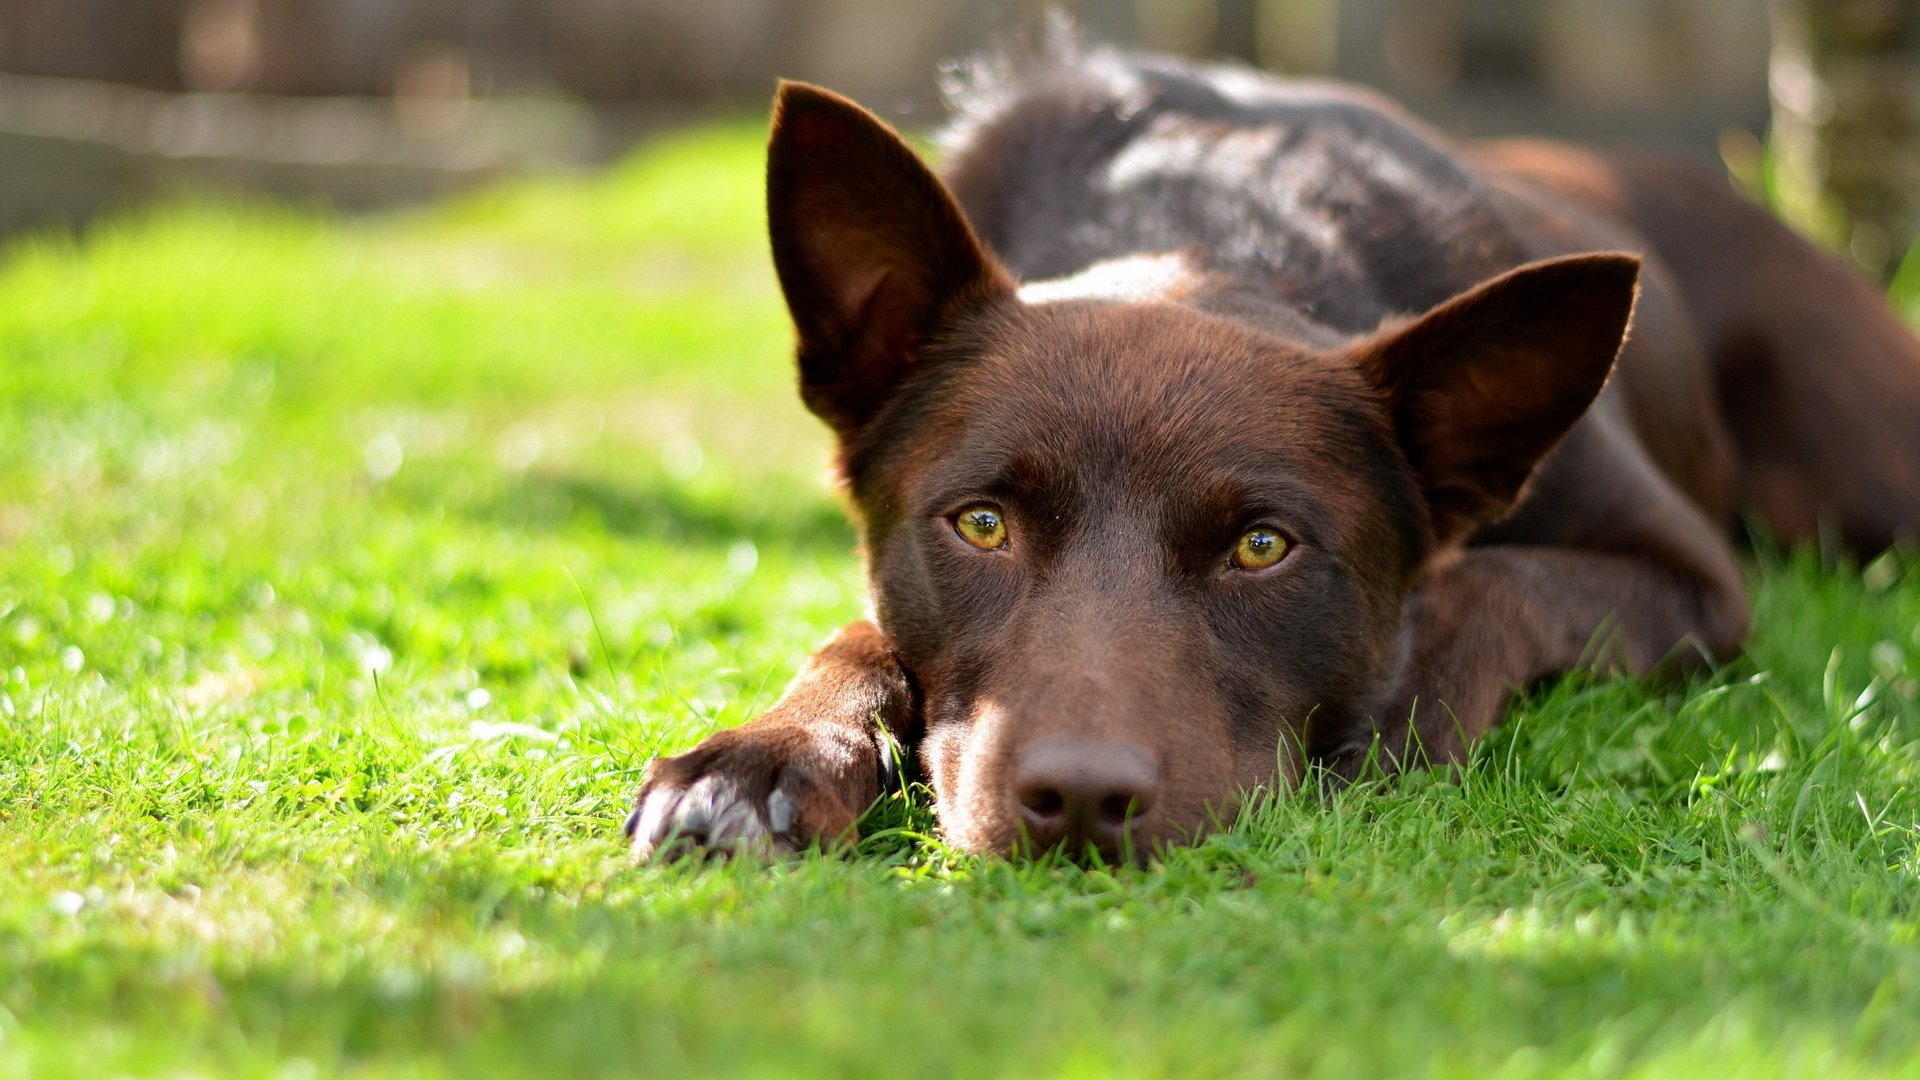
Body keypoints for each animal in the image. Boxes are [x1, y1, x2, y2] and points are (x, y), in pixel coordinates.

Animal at [625, 48, 1920, 857]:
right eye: (980, 524)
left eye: (1262, 547)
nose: (1079, 800)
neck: (1212, 225)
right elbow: (857, 637)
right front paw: (763, 758)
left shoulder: (1694, 582)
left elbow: (1497, 584)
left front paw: (1402, 706)